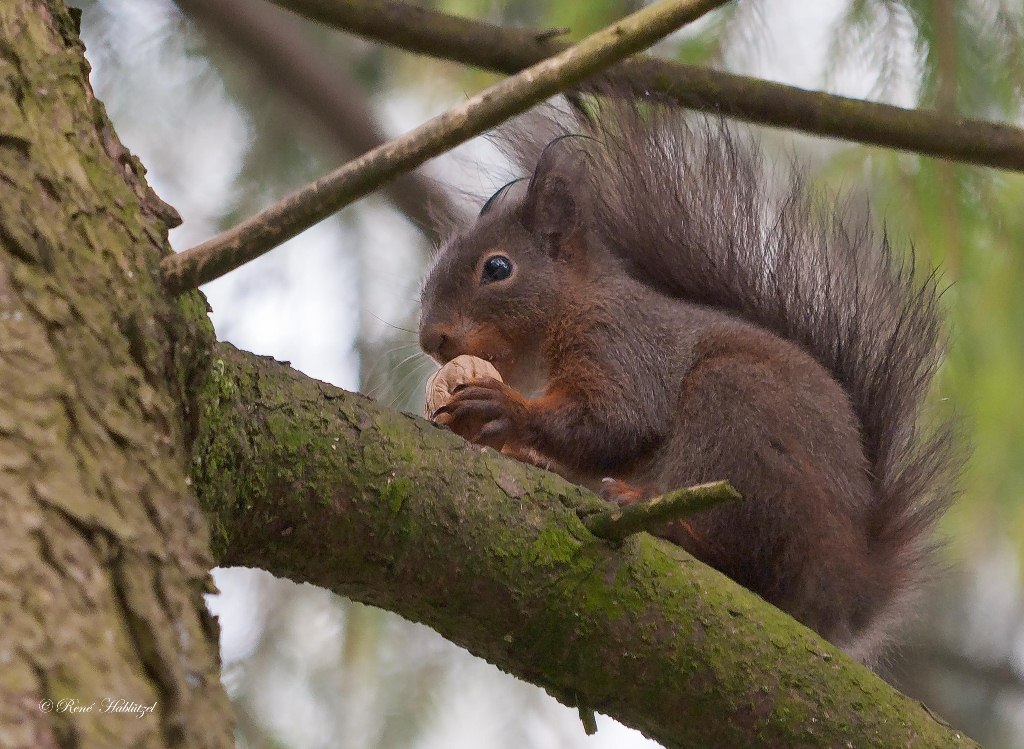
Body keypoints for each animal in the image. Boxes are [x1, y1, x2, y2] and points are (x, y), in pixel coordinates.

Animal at [415, 92, 958, 663]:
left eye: (497, 268)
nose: (431, 339)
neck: (566, 312)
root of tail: (849, 592)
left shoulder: (622, 344)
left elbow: (615, 419)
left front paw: (502, 407)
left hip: (736, 417)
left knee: (744, 556)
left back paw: (671, 526)